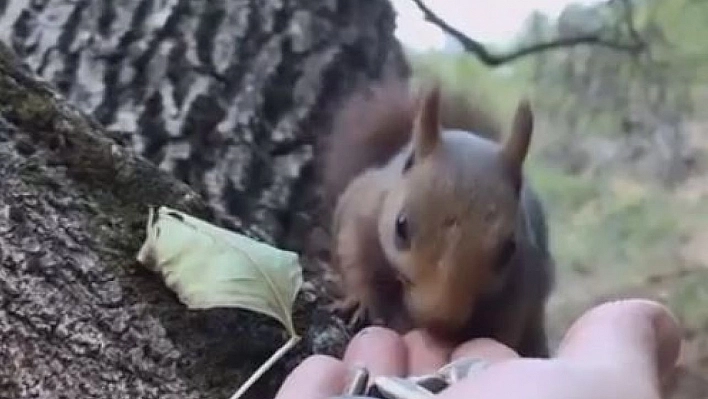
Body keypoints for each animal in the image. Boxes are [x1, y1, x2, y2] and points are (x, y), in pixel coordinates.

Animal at [320, 76, 560, 358]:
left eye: (508, 249)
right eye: (401, 227)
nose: (438, 321)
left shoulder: (522, 281)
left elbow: (507, 326)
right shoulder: (363, 211)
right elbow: (354, 256)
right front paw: (360, 301)